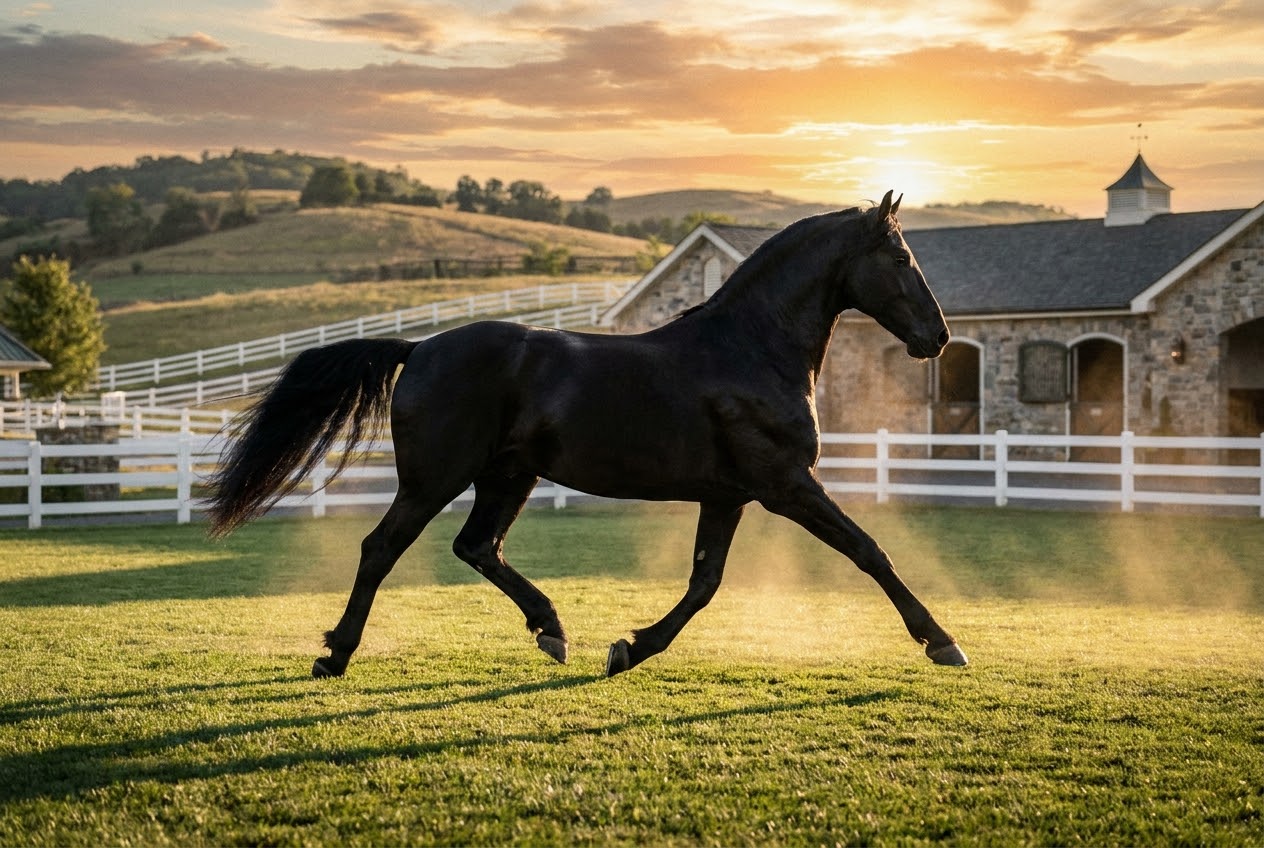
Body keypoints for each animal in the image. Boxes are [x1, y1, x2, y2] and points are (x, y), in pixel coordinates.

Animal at [206, 190, 968, 679]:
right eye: (901, 259)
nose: (937, 337)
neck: (749, 349)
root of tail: (418, 348)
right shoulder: (786, 485)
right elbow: (869, 552)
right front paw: (942, 642)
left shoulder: (728, 495)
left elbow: (704, 582)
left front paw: (628, 648)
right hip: (434, 479)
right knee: (381, 548)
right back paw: (334, 655)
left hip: (508, 476)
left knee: (477, 546)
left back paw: (552, 630)